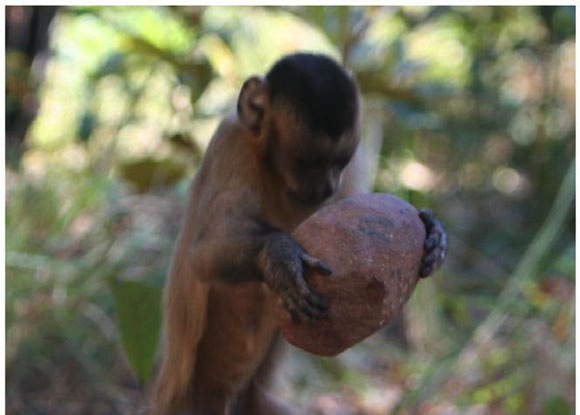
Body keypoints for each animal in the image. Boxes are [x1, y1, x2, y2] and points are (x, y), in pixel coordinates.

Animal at [152, 52, 446, 415]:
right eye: (307, 162)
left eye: (338, 162)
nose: (327, 187)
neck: (277, 175)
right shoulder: (232, 142)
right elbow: (203, 254)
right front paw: (278, 256)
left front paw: (431, 229)